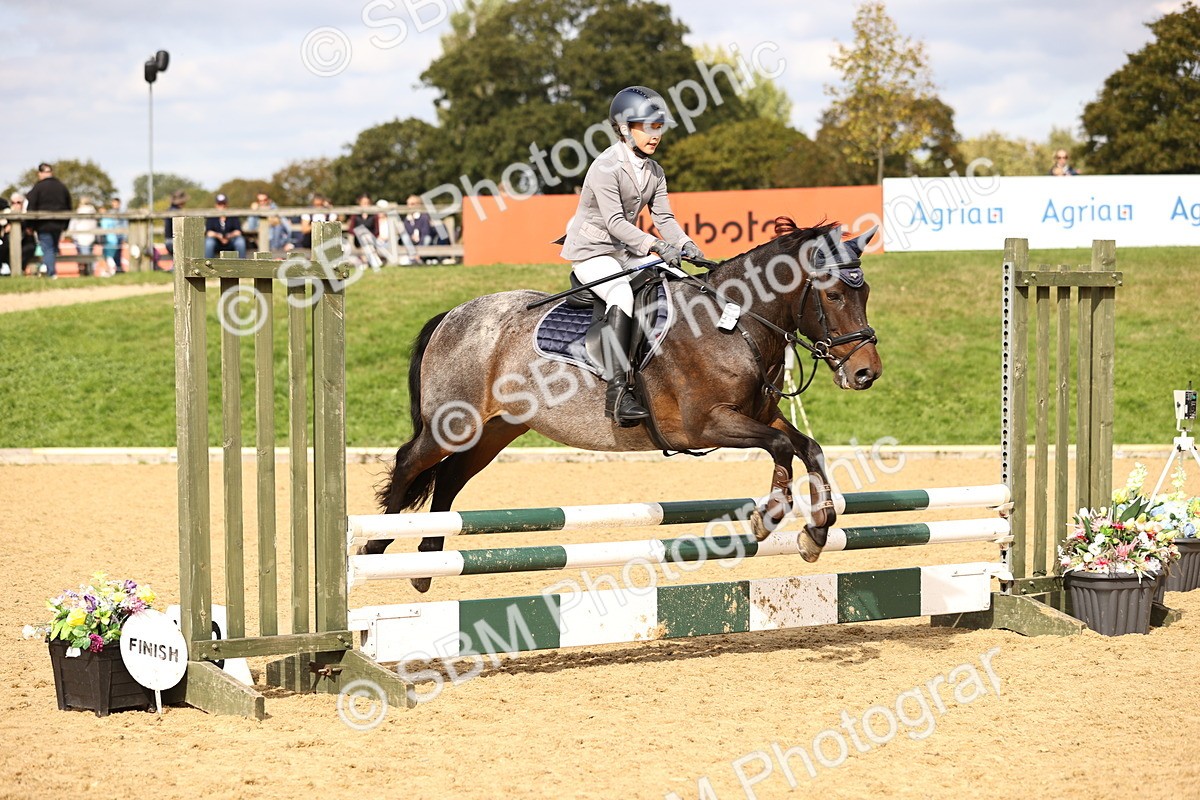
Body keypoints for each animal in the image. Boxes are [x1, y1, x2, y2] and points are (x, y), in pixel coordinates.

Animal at [372, 219, 882, 592]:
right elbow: (781, 446)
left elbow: (807, 447)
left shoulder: (758, 414)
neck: (734, 323)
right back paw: (373, 549)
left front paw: (817, 531)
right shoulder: (706, 425)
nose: (866, 373)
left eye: (866, 292)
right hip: (453, 423)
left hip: (495, 431)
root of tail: (453, 315)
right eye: (833, 294)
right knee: (409, 463)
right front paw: (770, 516)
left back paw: (426, 562)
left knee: (449, 479)